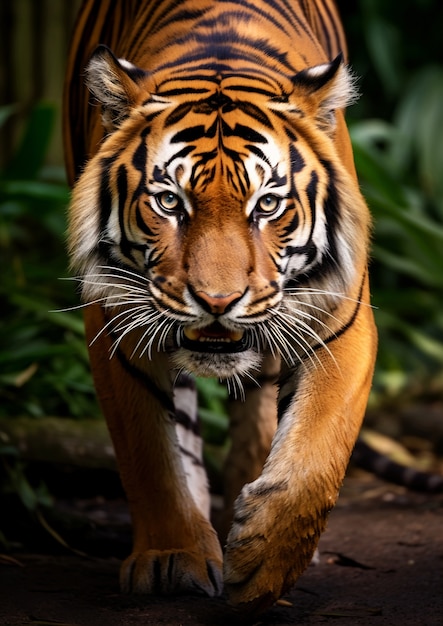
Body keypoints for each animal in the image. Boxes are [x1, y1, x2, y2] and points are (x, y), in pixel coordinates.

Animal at [64, 0, 378, 608]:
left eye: (267, 204)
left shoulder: (343, 322)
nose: (217, 300)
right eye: (169, 201)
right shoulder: (115, 323)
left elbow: (316, 455)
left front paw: (265, 563)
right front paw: (171, 556)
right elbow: (150, 455)